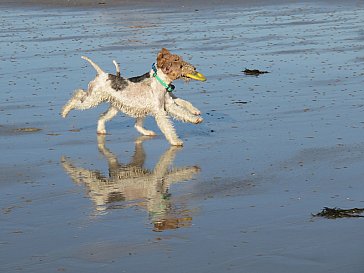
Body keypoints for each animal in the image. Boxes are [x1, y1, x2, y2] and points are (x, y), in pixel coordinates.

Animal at [61, 47, 206, 146]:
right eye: (179, 63)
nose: (194, 68)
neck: (160, 81)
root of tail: (102, 74)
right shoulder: (160, 111)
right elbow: (168, 127)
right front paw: (176, 141)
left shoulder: (168, 105)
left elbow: (183, 112)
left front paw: (196, 119)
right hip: (93, 99)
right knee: (76, 98)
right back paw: (64, 112)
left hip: (114, 107)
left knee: (101, 115)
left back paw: (102, 130)